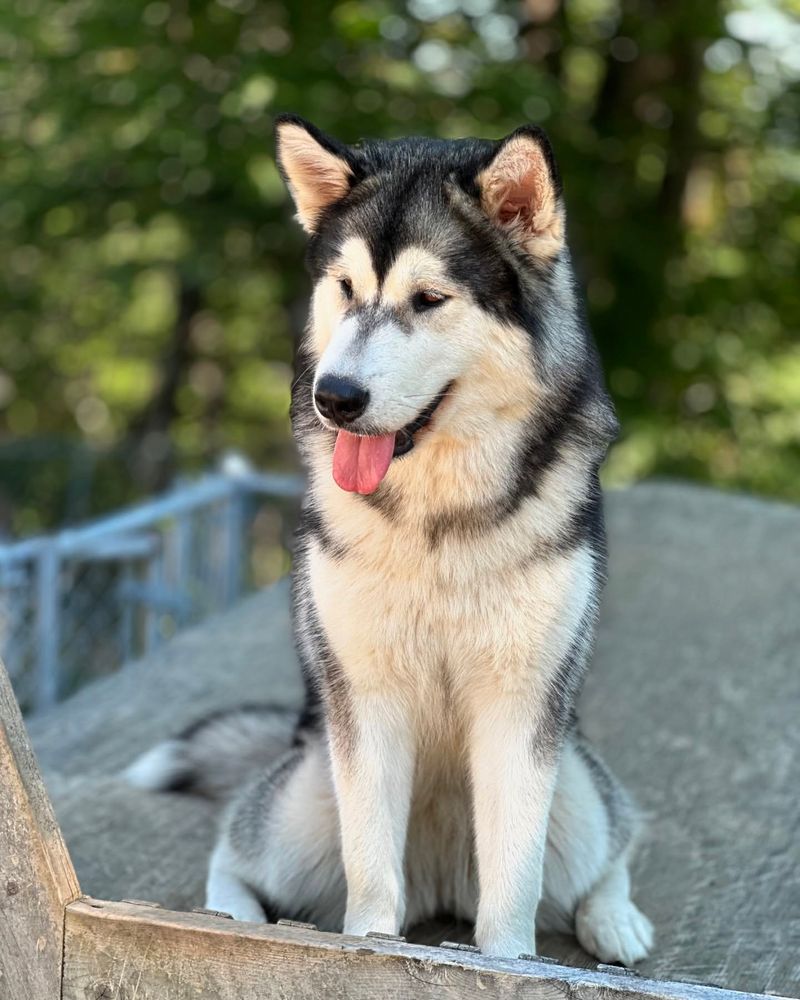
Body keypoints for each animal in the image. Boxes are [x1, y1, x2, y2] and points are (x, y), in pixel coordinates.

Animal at [128, 117, 652, 968]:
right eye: (345, 288)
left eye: (429, 299)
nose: (334, 398)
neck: (432, 520)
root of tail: (440, 883)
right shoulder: (366, 702)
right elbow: (371, 872)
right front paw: (369, 946)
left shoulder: (520, 710)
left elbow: (515, 888)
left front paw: (507, 963)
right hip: (304, 801)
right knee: (235, 845)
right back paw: (228, 917)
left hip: (572, 789)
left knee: (612, 842)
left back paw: (615, 918)